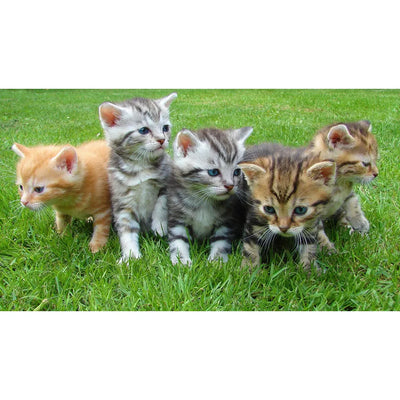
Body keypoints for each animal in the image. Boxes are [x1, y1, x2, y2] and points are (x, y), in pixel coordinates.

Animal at [98, 93, 177, 262]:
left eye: (165, 128)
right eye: (143, 130)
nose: (162, 139)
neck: (140, 167)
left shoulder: (167, 182)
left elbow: (162, 202)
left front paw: (160, 225)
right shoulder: (122, 202)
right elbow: (127, 231)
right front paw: (130, 256)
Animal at [167, 126, 252, 268]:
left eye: (236, 172)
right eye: (213, 172)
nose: (230, 185)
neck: (203, 200)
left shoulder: (226, 222)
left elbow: (221, 242)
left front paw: (216, 261)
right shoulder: (177, 218)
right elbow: (178, 240)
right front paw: (181, 261)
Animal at [239, 142, 336, 270]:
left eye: (300, 210)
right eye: (269, 209)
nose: (283, 228)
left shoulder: (311, 222)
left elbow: (309, 243)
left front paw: (309, 269)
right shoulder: (254, 216)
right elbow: (250, 246)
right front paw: (249, 269)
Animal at [306, 120, 378, 248]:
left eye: (375, 160)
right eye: (365, 164)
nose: (376, 174)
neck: (338, 181)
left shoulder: (348, 192)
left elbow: (353, 201)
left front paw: (360, 222)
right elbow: (317, 232)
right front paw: (327, 248)